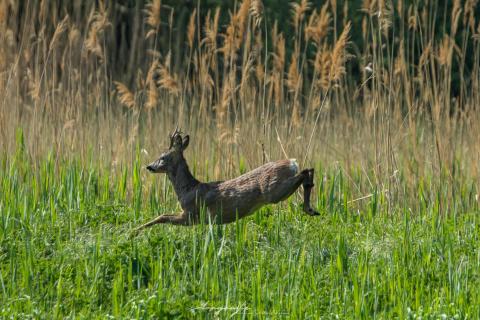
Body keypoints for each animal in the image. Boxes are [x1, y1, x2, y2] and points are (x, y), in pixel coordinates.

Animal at [135, 129, 320, 231]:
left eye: (162, 157)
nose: (149, 167)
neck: (187, 190)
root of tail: (291, 162)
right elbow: (163, 216)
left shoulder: (191, 215)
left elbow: (162, 216)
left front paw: (134, 231)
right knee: (308, 170)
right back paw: (312, 208)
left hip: (274, 190)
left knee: (304, 171)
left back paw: (309, 208)